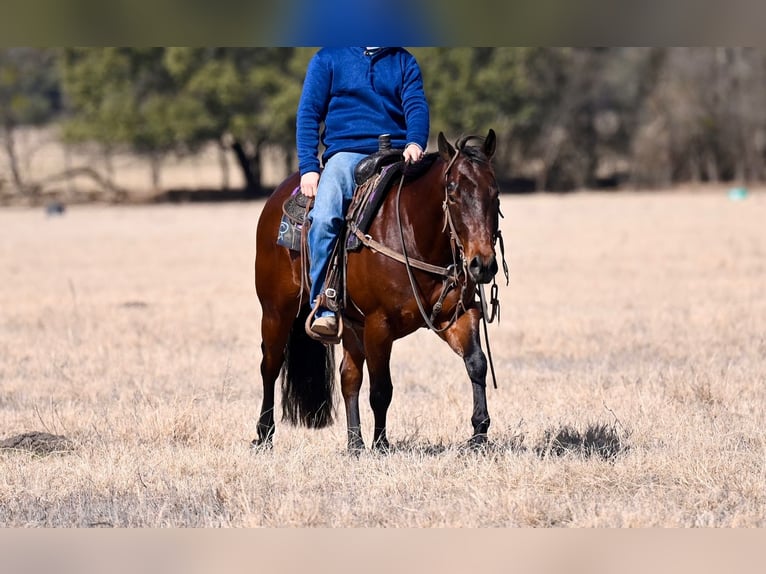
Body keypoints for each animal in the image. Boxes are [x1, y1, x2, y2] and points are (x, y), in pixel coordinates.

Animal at [252, 129, 502, 452]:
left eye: (494, 193)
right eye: (453, 192)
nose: (482, 264)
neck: (414, 235)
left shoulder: (458, 315)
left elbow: (477, 363)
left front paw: (479, 433)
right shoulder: (378, 324)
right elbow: (382, 388)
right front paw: (381, 444)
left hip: (350, 325)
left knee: (348, 376)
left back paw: (355, 443)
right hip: (275, 312)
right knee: (270, 366)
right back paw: (263, 435)